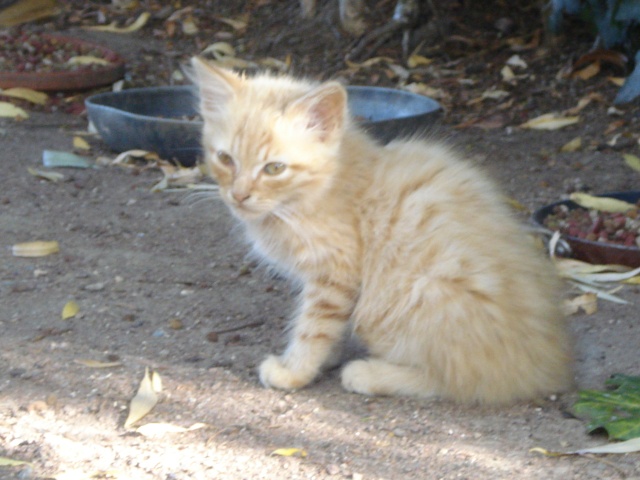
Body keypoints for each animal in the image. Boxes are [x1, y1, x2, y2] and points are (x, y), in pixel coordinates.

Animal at [191, 57, 576, 404]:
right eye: (225, 159)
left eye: (274, 168)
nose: (239, 195)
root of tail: (549, 367)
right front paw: (323, 359)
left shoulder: (335, 272)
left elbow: (314, 327)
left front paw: (295, 370)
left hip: (410, 297)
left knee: (463, 381)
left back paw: (372, 373)